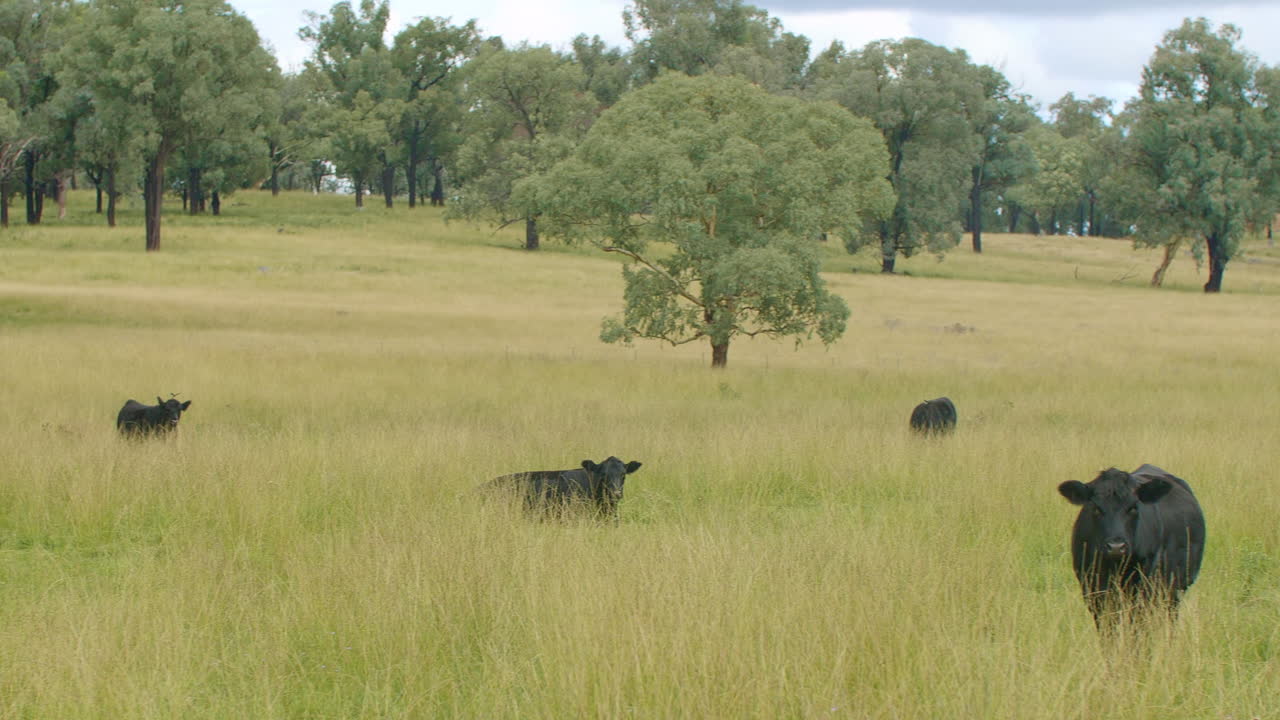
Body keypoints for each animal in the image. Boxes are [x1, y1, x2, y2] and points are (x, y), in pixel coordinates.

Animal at [1057, 464, 1206, 631]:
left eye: (1133, 507)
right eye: (1096, 508)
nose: (1116, 546)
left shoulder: (1145, 587)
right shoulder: (1093, 588)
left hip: (1174, 590)